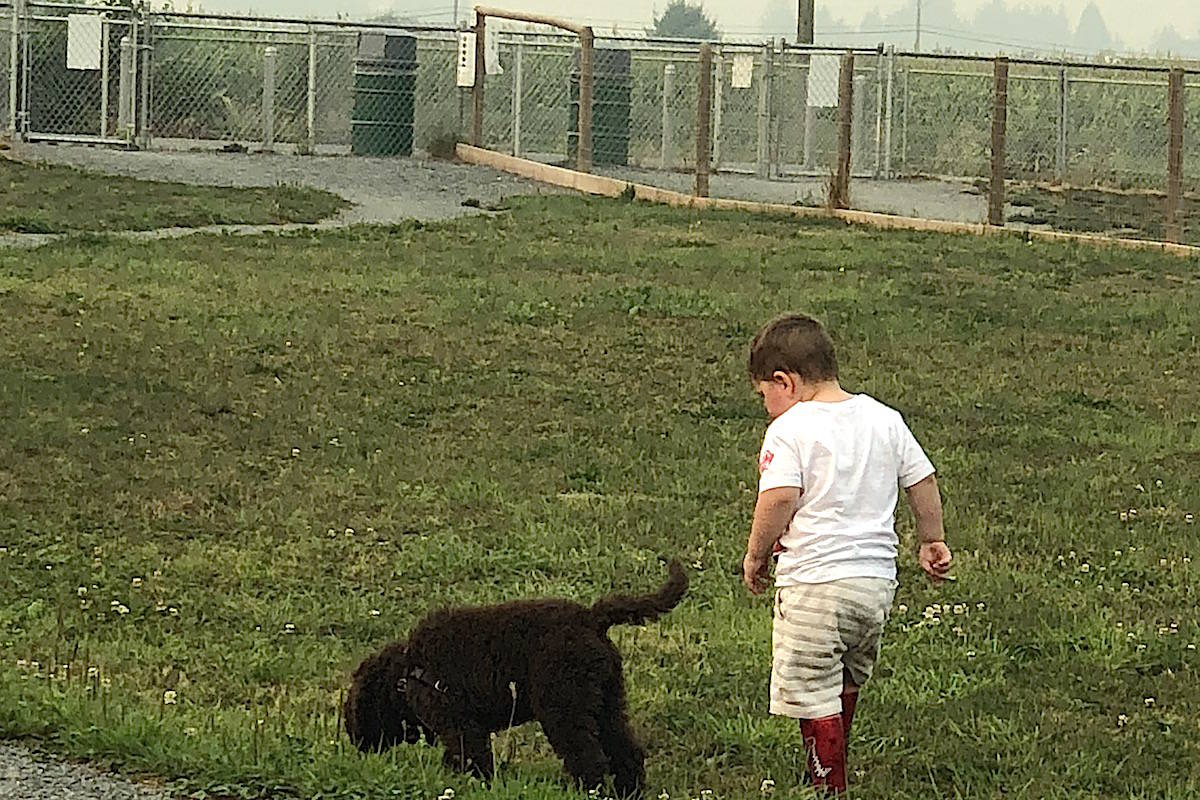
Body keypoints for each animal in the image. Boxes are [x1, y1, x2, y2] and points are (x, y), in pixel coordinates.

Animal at [343, 561, 691, 796]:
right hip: (606, 702)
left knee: (589, 759)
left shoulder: (461, 726)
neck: (406, 671)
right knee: (625, 752)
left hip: (564, 706)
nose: (360, 750)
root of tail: (592, 619)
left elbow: (474, 760)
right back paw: (628, 792)